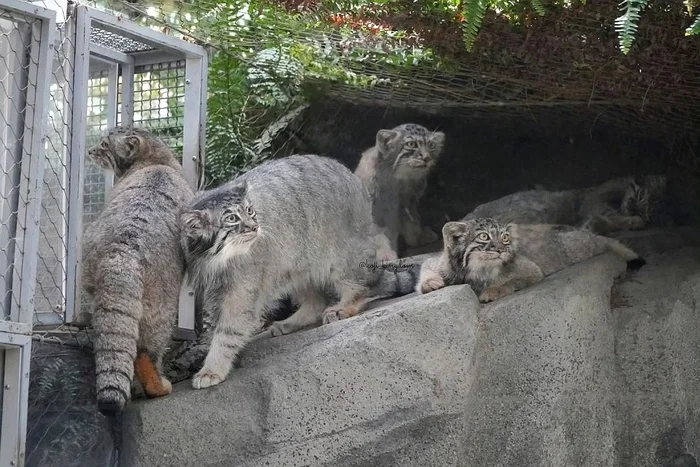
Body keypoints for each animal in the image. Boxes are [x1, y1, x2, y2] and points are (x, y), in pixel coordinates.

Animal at [79, 126, 193, 414]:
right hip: (162, 309)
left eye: (105, 144)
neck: (154, 159)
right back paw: (160, 386)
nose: (90, 150)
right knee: (146, 350)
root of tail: (125, 248)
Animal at [182, 155, 422, 390]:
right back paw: (291, 322)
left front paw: (212, 369)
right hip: (295, 263)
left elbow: (228, 332)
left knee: (360, 284)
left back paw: (344, 306)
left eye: (250, 211)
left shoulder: (240, 293)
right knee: (315, 301)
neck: (215, 260)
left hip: (342, 253)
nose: (254, 226)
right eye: (232, 218)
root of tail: (351, 176)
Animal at [352, 122, 446, 260]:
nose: (427, 158)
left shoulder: (408, 204)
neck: (396, 180)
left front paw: (418, 236)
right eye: (411, 144)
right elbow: (377, 233)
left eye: (431, 145)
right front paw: (385, 252)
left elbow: (412, 224)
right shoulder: (375, 210)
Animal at [416, 217, 644, 304]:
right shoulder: (438, 262)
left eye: (505, 238)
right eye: (484, 237)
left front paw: (491, 291)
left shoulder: (532, 269)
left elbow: (509, 282)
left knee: (599, 240)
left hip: (578, 247)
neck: (475, 272)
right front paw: (430, 283)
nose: (502, 250)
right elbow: (424, 267)